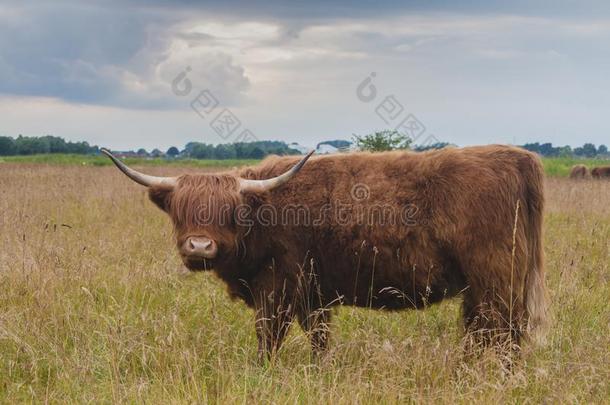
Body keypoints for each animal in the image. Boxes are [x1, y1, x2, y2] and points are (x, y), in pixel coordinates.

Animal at [102, 145, 544, 360]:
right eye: (181, 210)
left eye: (229, 211)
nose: (199, 246)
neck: (265, 212)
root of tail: (517, 157)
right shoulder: (314, 295)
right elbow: (318, 337)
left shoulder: (278, 287)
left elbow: (268, 335)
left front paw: (262, 370)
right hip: (485, 286)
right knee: (485, 330)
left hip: (495, 278)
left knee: (500, 331)